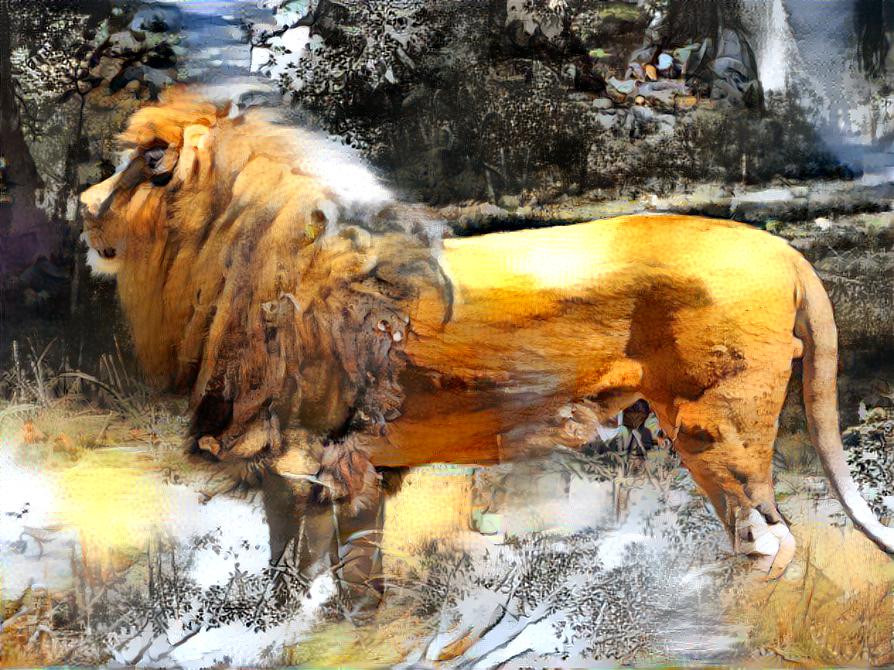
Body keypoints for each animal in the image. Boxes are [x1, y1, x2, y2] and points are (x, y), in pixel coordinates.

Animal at [82, 88, 894, 616]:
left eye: (147, 162)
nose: (84, 207)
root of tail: (783, 248)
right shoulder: (357, 466)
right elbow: (352, 572)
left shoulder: (299, 456)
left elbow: (290, 573)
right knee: (761, 536)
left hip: (715, 426)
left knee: (769, 542)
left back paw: (709, 616)